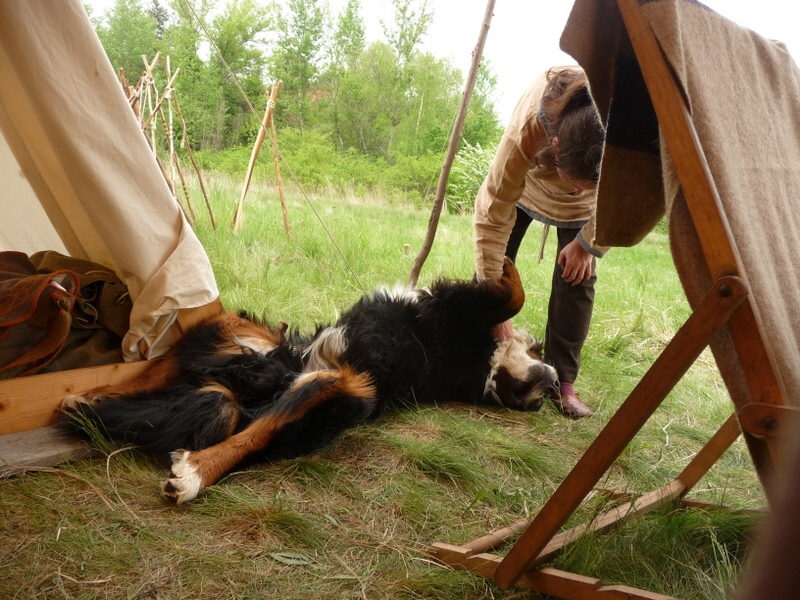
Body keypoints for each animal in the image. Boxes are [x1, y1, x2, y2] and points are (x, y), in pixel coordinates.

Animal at [61, 256, 556, 502]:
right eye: (534, 396)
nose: (551, 386)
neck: (484, 369)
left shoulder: (452, 309)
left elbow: (512, 297)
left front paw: (510, 267)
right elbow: (513, 299)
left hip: (337, 384)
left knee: (256, 431)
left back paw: (193, 475)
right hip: (239, 330)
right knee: (163, 371)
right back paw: (90, 395)